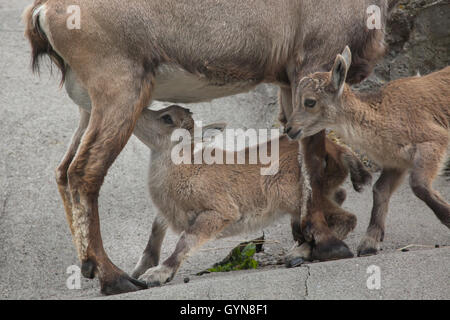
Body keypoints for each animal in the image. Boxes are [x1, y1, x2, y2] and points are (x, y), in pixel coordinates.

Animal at [128, 105, 370, 288]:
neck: (187, 170)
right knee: (340, 195)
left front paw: (155, 275)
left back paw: (299, 253)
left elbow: (185, 241)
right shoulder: (167, 213)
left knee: (348, 217)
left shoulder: (220, 211)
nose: (137, 113)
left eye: (167, 118)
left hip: (287, 192)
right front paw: (136, 273)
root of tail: (339, 151)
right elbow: (155, 231)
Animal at [288, 47, 450, 256]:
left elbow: (419, 185)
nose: (290, 129)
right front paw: (369, 243)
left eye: (309, 101)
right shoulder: (396, 163)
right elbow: (380, 190)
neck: (384, 115)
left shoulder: (434, 140)